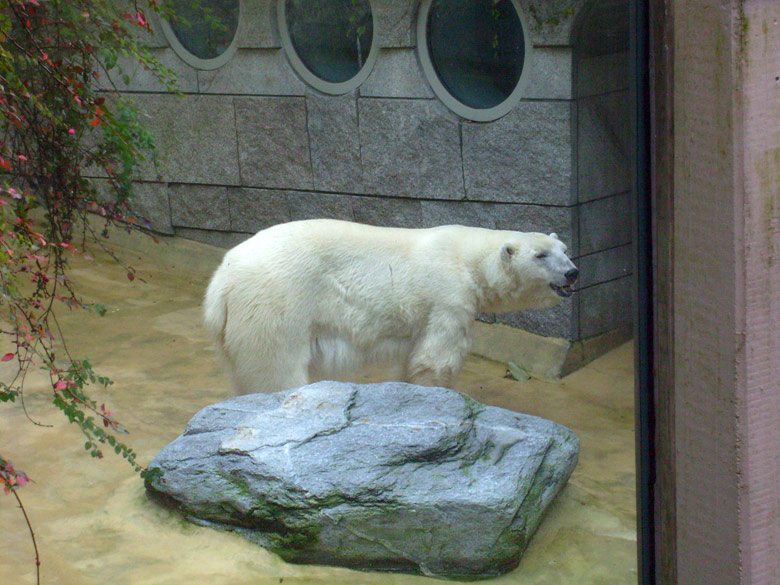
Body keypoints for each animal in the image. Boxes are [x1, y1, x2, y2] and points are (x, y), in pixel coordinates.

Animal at [204, 220, 576, 396]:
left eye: (564, 249)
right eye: (540, 255)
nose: (573, 272)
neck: (468, 258)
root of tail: (222, 280)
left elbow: (412, 358)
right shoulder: (447, 297)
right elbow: (437, 358)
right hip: (277, 300)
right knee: (275, 367)